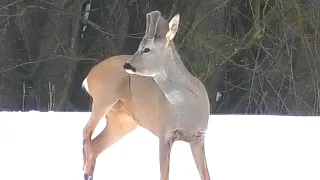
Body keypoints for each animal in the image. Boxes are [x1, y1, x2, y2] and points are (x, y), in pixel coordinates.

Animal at [124, 10, 211, 180]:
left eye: (146, 49)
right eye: (138, 46)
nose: (126, 64)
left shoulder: (199, 137)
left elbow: (206, 175)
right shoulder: (164, 132)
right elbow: (164, 175)